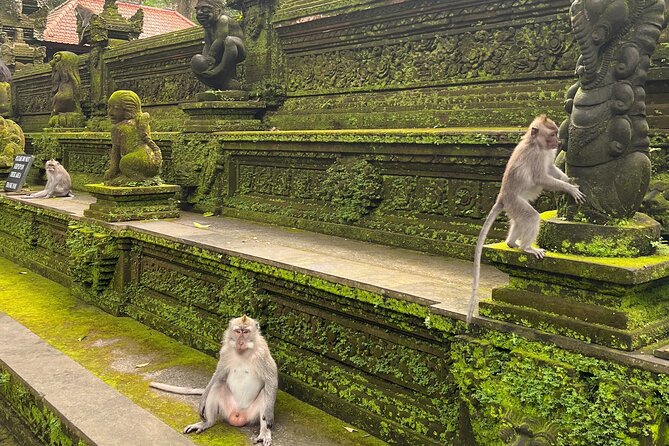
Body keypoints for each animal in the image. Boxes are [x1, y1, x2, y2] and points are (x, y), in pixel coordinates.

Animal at [150, 315, 277, 445]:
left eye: (246, 332)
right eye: (238, 331)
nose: (240, 342)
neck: (244, 351)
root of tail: (238, 416)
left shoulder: (262, 351)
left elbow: (271, 378)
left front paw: (269, 414)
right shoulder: (225, 351)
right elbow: (218, 375)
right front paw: (202, 401)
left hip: (251, 415)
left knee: (265, 393)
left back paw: (264, 432)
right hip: (227, 410)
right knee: (217, 385)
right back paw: (207, 423)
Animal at [467, 115, 586, 324]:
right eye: (552, 134)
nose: (558, 142)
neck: (535, 143)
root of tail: (502, 197)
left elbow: (551, 168)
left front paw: (568, 180)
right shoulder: (536, 156)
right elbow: (541, 177)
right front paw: (569, 188)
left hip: (513, 207)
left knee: (518, 221)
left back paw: (511, 243)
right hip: (515, 202)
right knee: (530, 217)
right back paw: (527, 248)